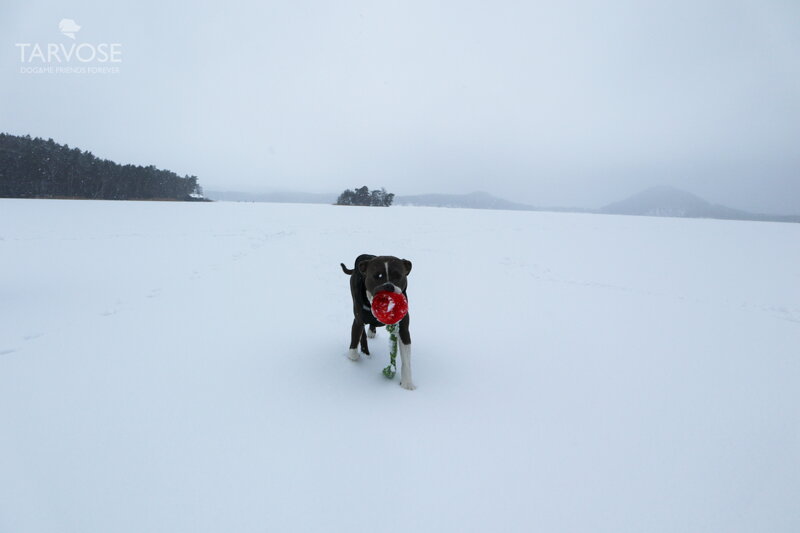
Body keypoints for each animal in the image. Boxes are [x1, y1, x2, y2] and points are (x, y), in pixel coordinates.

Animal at [340, 254, 416, 390]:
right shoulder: (358, 321)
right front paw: (355, 359)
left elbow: (406, 360)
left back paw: (372, 331)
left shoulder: (403, 329)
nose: (388, 286)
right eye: (377, 276)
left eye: (398, 276)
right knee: (362, 335)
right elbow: (353, 348)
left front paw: (407, 383)